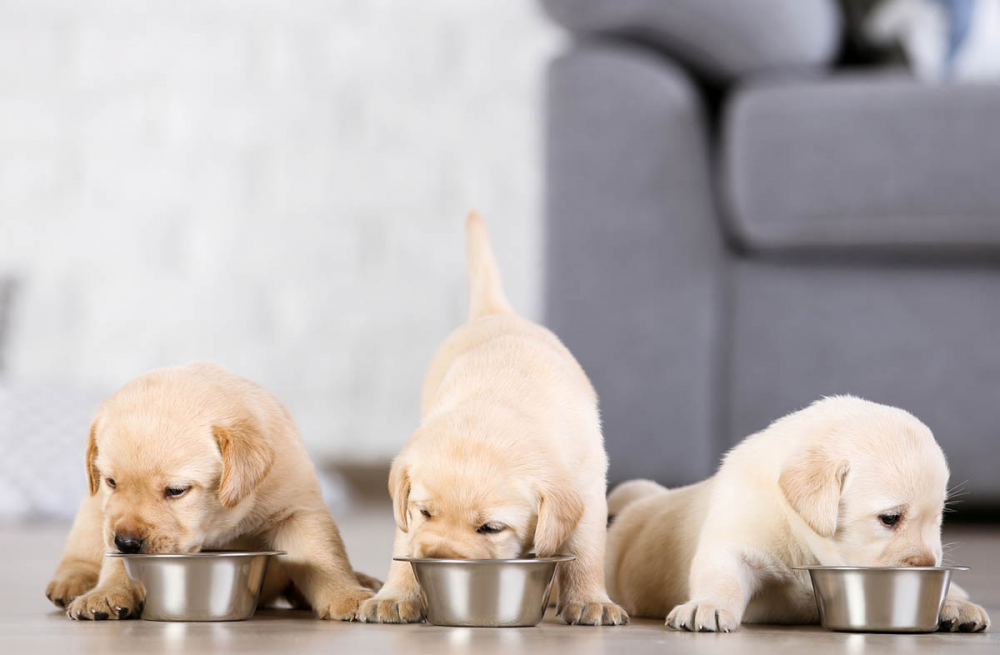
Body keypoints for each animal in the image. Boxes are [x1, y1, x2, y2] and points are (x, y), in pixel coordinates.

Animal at [43, 364, 380, 620]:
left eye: (176, 490)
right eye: (111, 482)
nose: (126, 542)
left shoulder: (296, 509)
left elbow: (324, 556)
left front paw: (346, 594)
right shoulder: (109, 516)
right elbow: (115, 563)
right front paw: (108, 592)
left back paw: (363, 580)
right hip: (90, 512)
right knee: (80, 554)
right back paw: (72, 582)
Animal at [358, 213, 624, 628]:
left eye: (492, 528)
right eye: (425, 512)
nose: (437, 558)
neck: (498, 405)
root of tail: (496, 312)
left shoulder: (589, 487)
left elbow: (586, 550)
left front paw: (589, 600)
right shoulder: (408, 513)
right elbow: (404, 541)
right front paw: (396, 594)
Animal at [604, 398, 988, 632]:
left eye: (938, 519)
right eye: (890, 518)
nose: (927, 563)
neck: (805, 543)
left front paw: (952, 602)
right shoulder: (735, 538)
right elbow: (722, 576)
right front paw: (708, 604)